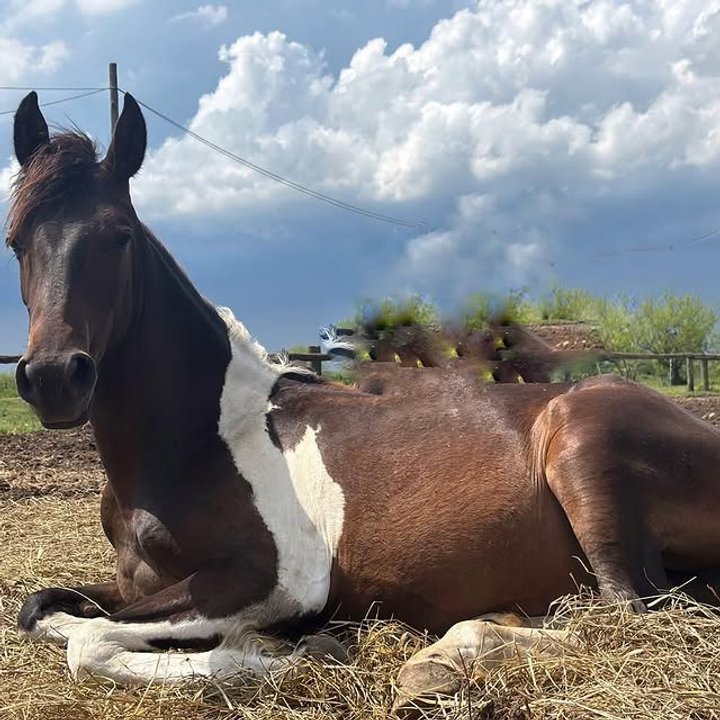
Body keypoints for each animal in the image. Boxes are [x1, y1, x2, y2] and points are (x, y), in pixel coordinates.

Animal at [10, 92, 720, 705]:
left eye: (119, 236)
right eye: (15, 240)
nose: (54, 377)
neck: (196, 442)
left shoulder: (275, 577)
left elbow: (89, 643)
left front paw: (292, 652)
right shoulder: (133, 585)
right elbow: (41, 611)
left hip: (585, 451)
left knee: (625, 619)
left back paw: (442, 659)